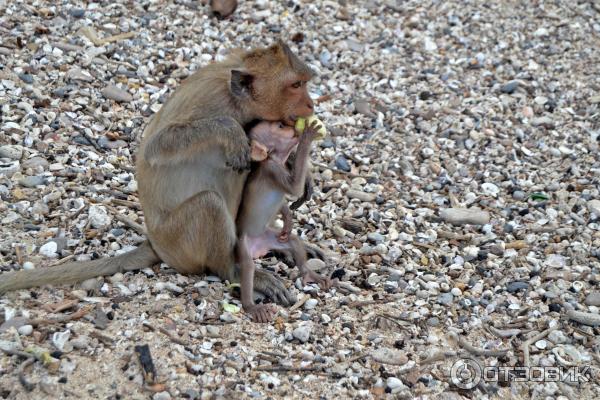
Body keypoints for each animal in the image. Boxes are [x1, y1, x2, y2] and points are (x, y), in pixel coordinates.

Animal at [0, 41, 316, 304]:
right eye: (296, 85)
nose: (311, 104)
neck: (237, 101)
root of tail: (156, 244)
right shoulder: (210, 101)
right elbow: (158, 146)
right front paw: (231, 131)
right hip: (178, 239)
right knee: (209, 204)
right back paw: (236, 271)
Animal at [238, 119, 332, 322]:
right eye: (280, 126)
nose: (292, 126)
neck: (275, 159)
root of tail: (259, 249)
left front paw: (288, 217)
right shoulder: (272, 169)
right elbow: (294, 187)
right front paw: (307, 136)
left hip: (271, 237)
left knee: (293, 240)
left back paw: (309, 274)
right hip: (244, 245)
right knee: (247, 267)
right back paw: (250, 305)